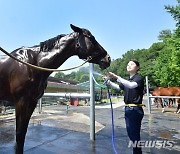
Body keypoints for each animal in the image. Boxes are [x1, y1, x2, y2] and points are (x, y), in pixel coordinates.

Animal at [0, 24, 111, 153]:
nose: (108, 59)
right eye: (91, 38)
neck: (33, 64)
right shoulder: (21, 102)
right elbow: (19, 134)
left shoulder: (32, 102)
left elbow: (23, 133)